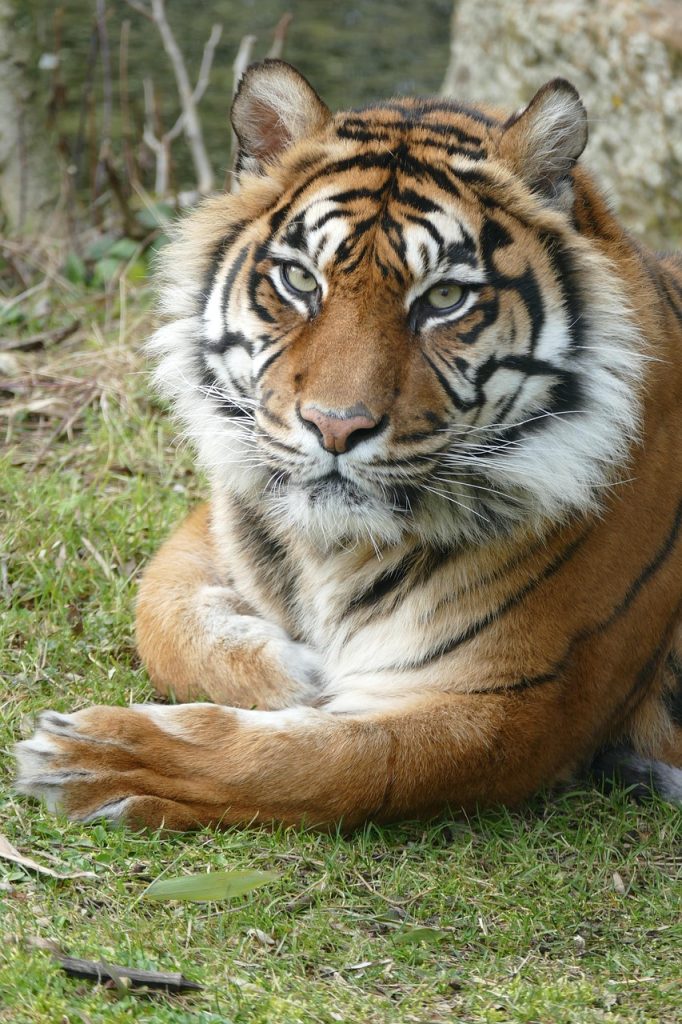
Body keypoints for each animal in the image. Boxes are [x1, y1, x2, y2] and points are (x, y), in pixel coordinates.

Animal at [15, 60, 682, 831]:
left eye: (445, 297)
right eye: (301, 279)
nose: (336, 427)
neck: (333, 551)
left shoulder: (518, 705)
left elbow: (323, 764)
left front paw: (98, 758)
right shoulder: (211, 525)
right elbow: (159, 611)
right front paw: (291, 673)